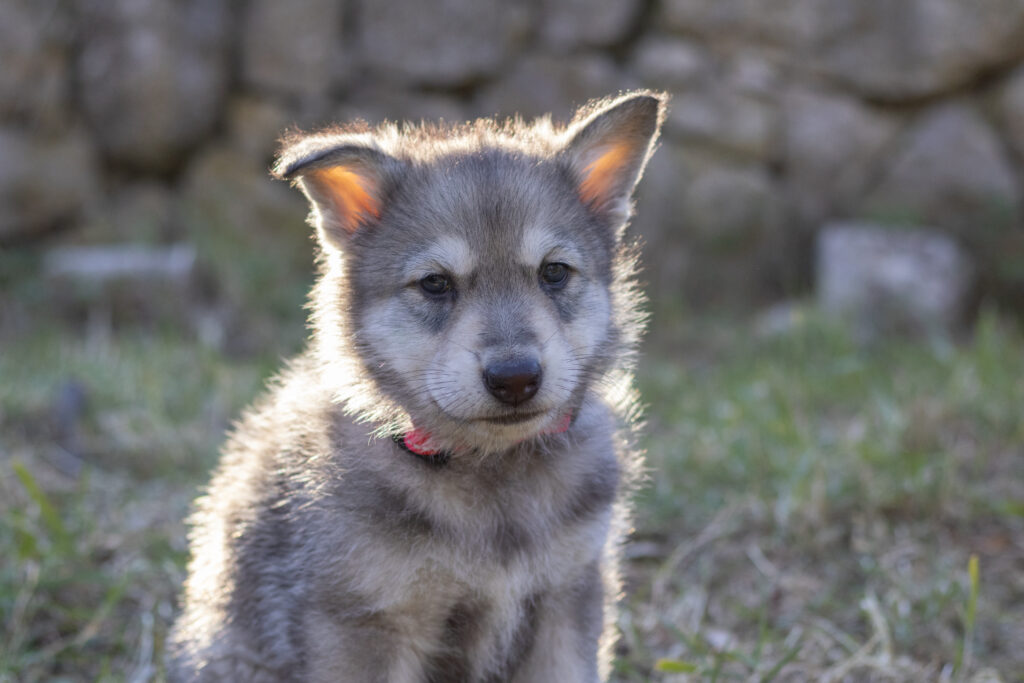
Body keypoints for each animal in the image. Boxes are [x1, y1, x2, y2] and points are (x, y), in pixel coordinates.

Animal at [167, 91, 666, 682]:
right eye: (434, 284)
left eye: (554, 273)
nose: (516, 377)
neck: (490, 473)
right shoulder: (367, 621)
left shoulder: (567, 597)